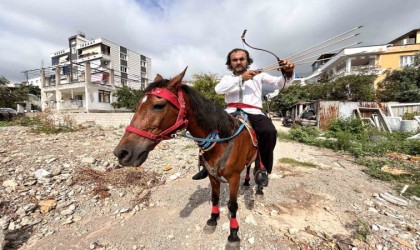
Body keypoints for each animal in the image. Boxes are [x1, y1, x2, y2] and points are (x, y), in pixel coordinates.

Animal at [115, 69, 260, 248]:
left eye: (159, 105)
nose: (122, 153)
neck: (222, 140)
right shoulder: (212, 176)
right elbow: (214, 197)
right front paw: (212, 219)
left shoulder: (233, 178)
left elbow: (232, 206)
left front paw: (233, 234)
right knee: (248, 166)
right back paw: (246, 182)